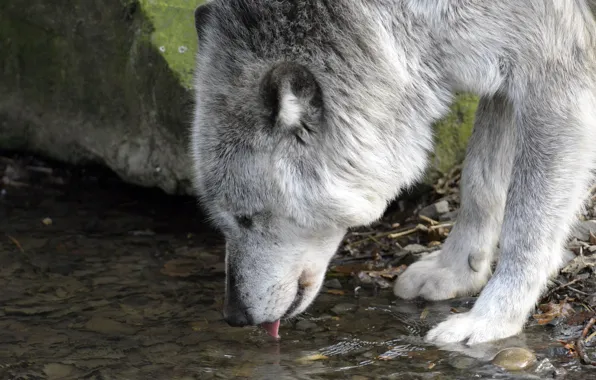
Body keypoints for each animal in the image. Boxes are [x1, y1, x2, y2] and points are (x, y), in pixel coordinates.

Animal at [190, 0, 596, 344]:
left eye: (245, 218)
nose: (233, 317)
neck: (400, 14)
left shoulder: (553, 79)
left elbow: (525, 230)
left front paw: (492, 319)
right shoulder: (503, 79)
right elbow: (478, 184)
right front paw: (457, 272)